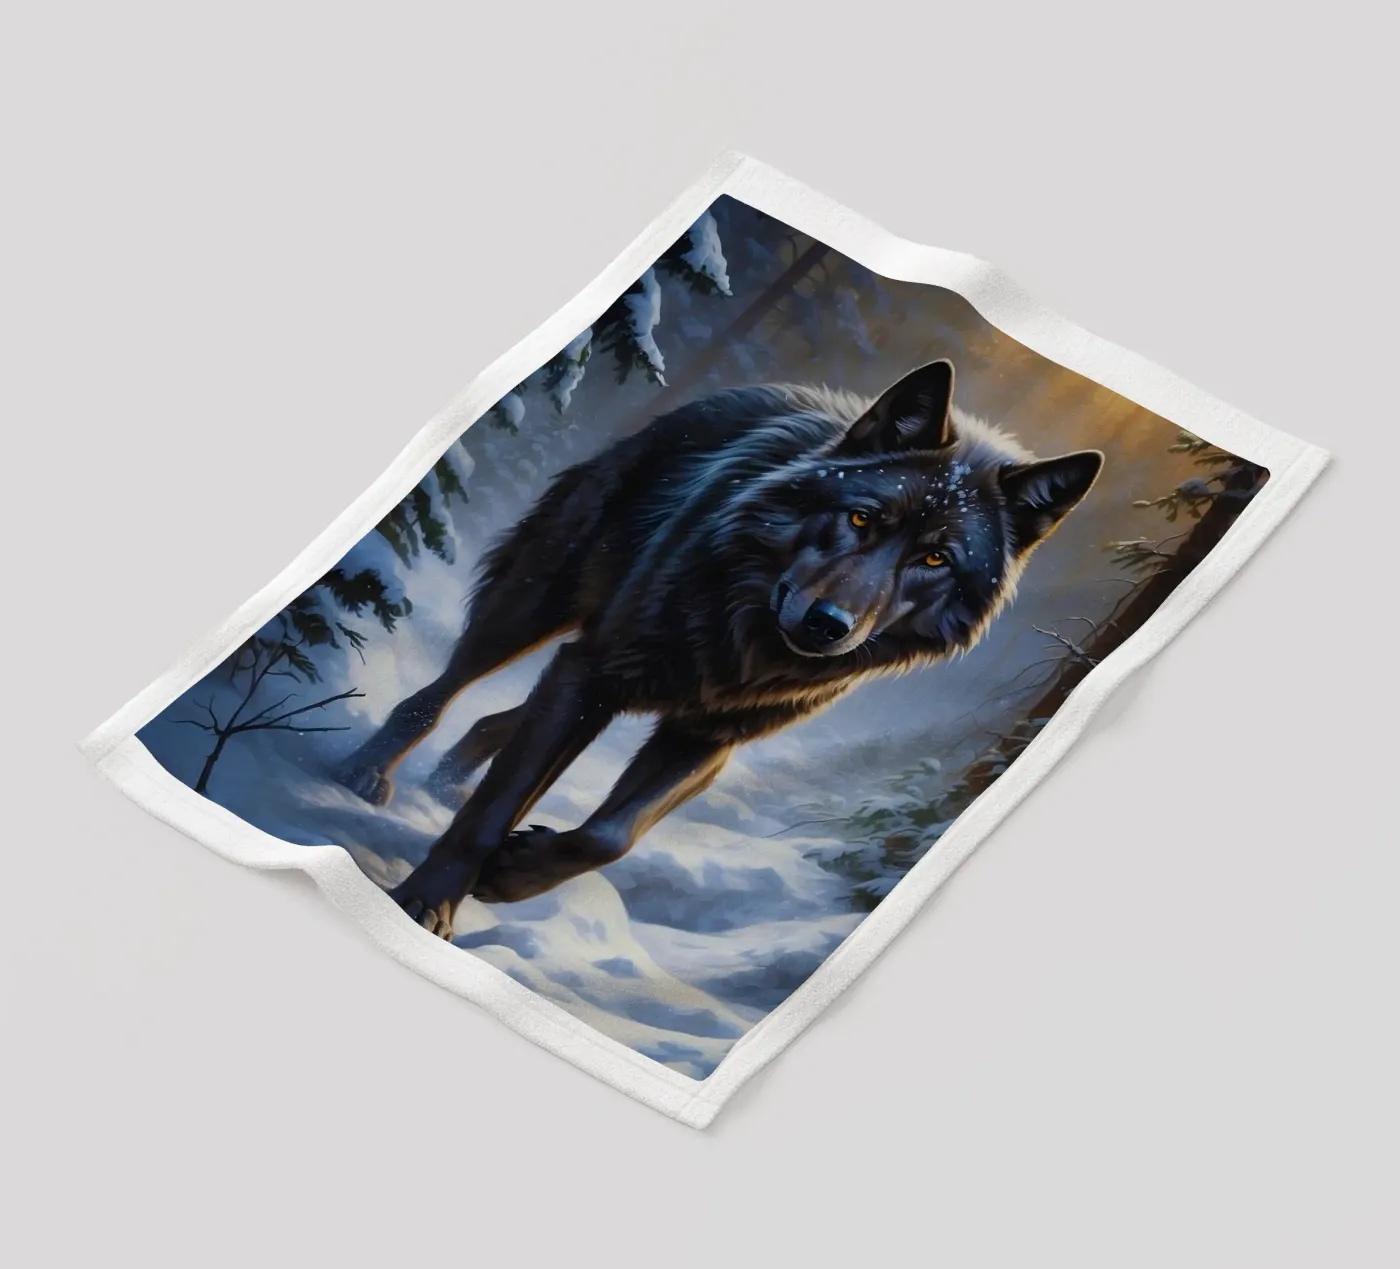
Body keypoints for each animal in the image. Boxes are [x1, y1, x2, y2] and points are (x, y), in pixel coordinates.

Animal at [335, 361, 1103, 937]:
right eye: (861, 518)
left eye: (937, 559)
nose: (828, 624)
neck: (748, 645)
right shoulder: (593, 673)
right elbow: (494, 809)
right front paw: (428, 901)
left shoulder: (706, 738)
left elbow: (612, 834)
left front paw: (518, 870)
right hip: (535, 607)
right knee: (441, 693)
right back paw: (368, 771)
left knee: (499, 723)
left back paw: (445, 781)